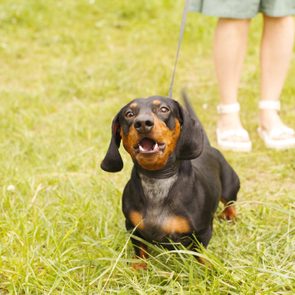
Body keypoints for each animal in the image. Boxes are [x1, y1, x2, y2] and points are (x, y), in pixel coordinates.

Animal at [102, 93, 240, 270]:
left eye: (164, 109)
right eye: (129, 114)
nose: (143, 123)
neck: (157, 179)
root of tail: (208, 147)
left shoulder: (202, 231)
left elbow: (200, 253)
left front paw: (207, 269)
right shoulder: (133, 229)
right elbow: (140, 250)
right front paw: (138, 267)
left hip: (230, 186)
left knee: (230, 202)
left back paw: (229, 216)